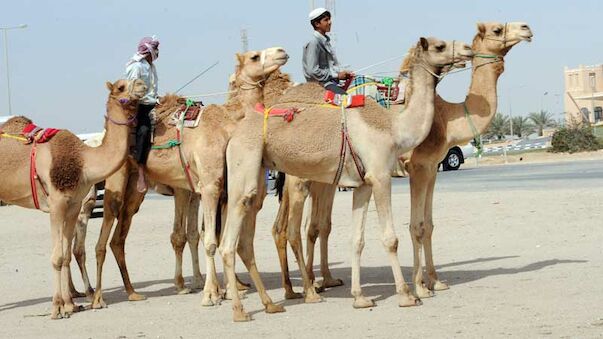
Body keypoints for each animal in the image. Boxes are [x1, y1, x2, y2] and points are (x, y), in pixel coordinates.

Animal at [0, 78, 147, 320]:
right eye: (121, 87)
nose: (142, 84)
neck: (84, 161)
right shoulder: (57, 204)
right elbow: (58, 256)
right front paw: (57, 308)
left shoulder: (74, 205)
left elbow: (67, 254)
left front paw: (70, 304)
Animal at [86, 47, 292, 310]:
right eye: (255, 56)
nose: (281, 51)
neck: (227, 126)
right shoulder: (208, 186)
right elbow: (209, 240)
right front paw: (210, 293)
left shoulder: (220, 190)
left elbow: (212, 237)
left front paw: (226, 290)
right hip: (115, 184)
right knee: (103, 236)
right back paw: (97, 298)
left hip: (136, 190)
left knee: (118, 239)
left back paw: (131, 292)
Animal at [222, 37, 476, 322]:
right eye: (439, 46)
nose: (467, 49)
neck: (394, 127)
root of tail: (234, 134)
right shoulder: (380, 176)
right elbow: (390, 239)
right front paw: (407, 295)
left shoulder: (363, 184)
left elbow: (357, 240)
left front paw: (360, 298)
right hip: (248, 167)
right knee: (230, 242)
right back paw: (242, 310)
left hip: (258, 173)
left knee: (246, 238)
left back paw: (271, 304)